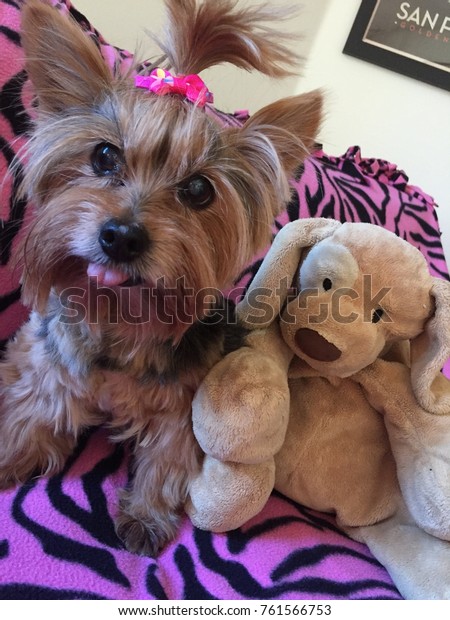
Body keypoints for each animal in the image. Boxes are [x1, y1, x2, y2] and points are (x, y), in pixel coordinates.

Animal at [0, 0, 324, 556]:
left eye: (198, 189)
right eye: (104, 156)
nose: (122, 236)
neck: (121, 318)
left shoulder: (183, 403)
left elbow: (169, 455)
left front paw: (147, 514)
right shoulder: (53, 368)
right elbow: (34, 409)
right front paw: (11, 451)